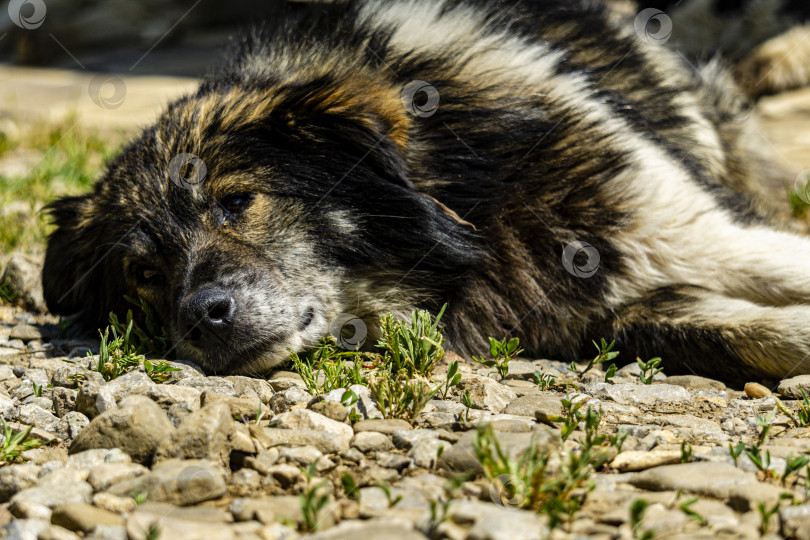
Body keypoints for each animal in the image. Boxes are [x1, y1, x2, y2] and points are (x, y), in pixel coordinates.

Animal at [41, 0, 808, 384]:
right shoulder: (610, 309)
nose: (201, 319)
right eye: (144, 273)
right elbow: (750, 332)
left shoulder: (698, 231)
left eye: (236, 202)